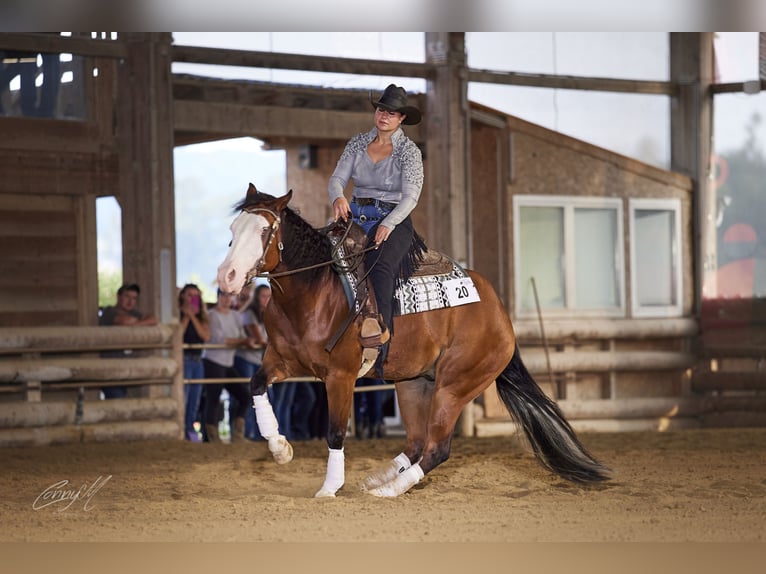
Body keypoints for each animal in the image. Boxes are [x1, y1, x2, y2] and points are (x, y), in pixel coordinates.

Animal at [217, 184, 610, 497]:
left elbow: (335, 432)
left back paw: (390, 490)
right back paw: (378, 479)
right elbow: (255, 385)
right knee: (417, 443)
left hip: (454, 386)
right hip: (412, 383)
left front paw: (329, 488)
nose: (227, 276)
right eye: (233, 228)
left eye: (264, 230)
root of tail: (499, 314)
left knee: (437, 448)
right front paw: (280, 448)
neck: (314, 291)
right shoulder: (282, 361)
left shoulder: (341, 376)